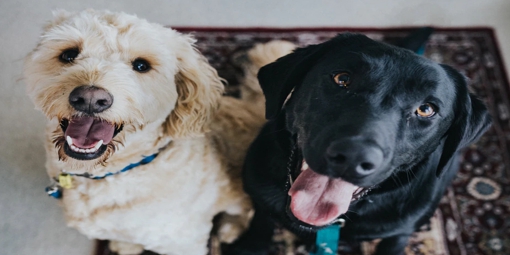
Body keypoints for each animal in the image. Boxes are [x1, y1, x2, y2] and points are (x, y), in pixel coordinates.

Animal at [229, 32, 492, 254]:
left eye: (426, 109)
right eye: (342, 78)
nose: (352, 157)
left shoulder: (400, 231)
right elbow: (261, 220)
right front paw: (250, 245)